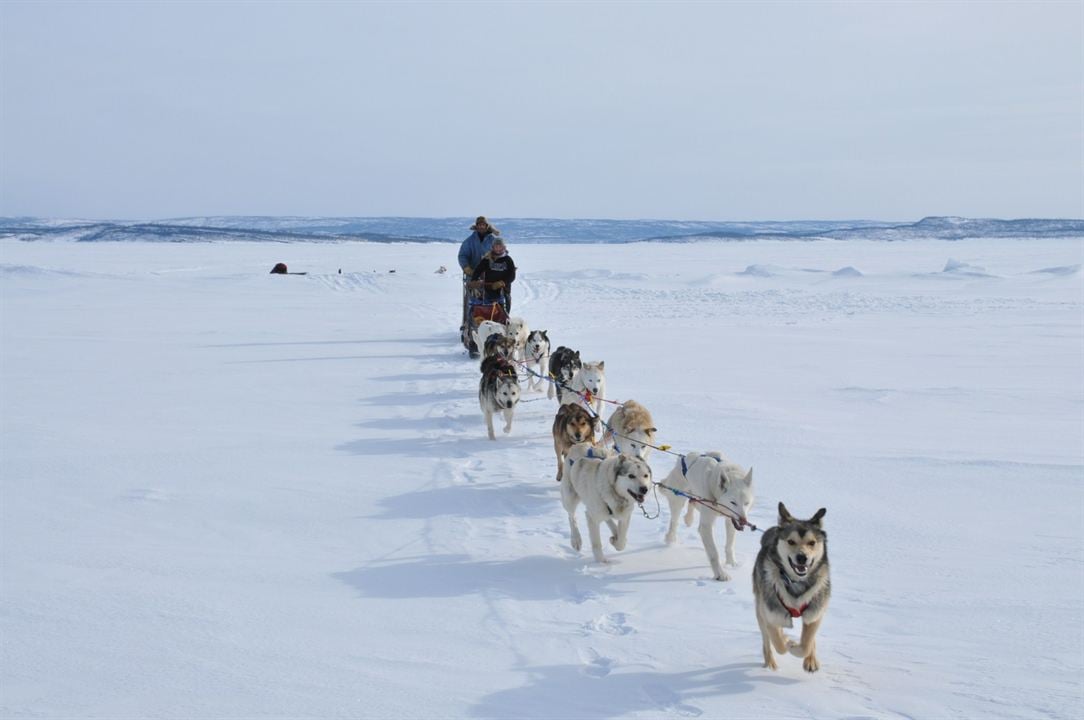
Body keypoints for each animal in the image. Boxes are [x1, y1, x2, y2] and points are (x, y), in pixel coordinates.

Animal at [659, 453, 754, 581]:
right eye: (733, 502)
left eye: (746, 503)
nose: (743, 521)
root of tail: (684, 458)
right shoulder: (706, 526)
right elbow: (714, 553)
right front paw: (720, 574)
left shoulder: (730, 521)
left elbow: (730, 545)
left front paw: (732, 563)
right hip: (679, 500)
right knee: (674, 521)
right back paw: (671, 539)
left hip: (698, 502)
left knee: (692, 502)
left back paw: (689, 518)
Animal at [754, 503, 828, 672]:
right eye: (791, 541)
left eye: (812, 543)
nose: (802, 557)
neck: (795, 582)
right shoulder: (770, 615)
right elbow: (779, 644)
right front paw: (788, 642)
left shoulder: (815, 614)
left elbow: (806, 645)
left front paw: (800, 650)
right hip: (761, 609)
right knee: (767, 641)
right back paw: (770, 662)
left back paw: (811, 659)